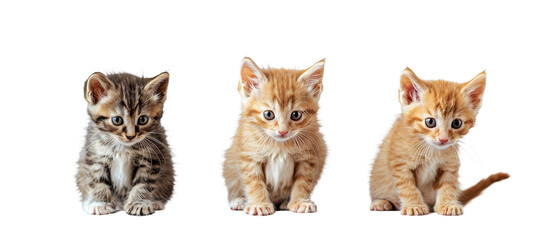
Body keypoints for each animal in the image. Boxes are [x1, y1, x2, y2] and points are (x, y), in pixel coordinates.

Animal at [75, 71, 174, 216]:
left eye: (143, 119)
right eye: (117, 120)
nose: (131, 136)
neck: (122, 146)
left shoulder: (151, 159)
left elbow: (144, 182)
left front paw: (139, 203)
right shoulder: (95, 156)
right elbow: (97, 180)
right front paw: (100, 203)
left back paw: (156, 202)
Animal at [223, 57, 328, 216]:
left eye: (296, 115)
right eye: (268, 114)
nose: (283, 131)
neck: (279, 145)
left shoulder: (309, 156)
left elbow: (303, 181)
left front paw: (300, 201)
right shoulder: (249, 155)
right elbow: (254, 181)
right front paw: (259, 204)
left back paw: (284, 203)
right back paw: (239, 201)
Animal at [370, 67, 510, 216]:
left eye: (456, 123)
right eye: (430, 122)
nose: (443, 139)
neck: (431, 149)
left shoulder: (450, 165)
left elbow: (448, 185)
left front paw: (447, 205)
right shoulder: (400, 164)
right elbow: (408, 186)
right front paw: (414, 205)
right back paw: (381, 202)